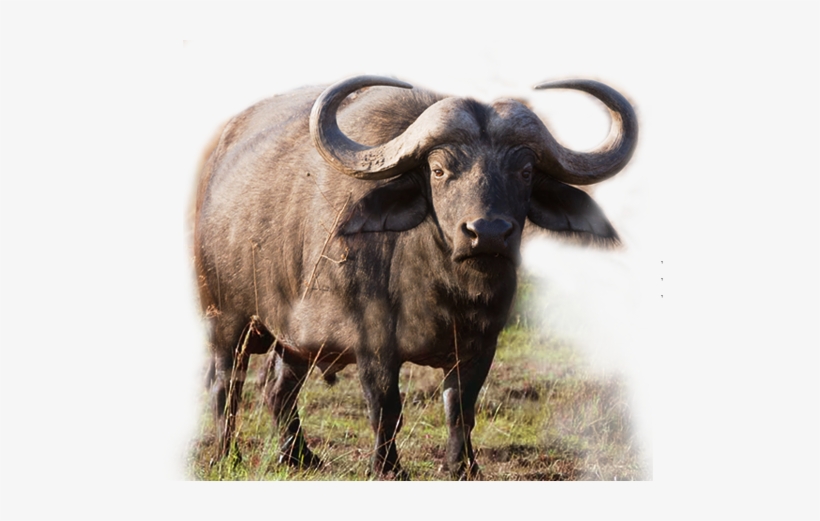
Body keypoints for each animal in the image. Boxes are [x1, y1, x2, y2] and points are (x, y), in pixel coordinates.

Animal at [193, 75, 637, 479]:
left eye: (525, 171)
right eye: (439, 170)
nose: (488, 233)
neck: (443, 290)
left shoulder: (482, 344)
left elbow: (461, 407)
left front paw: (463, 467)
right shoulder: (372, 340)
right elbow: (386, 407)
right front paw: (387, 468)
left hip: (294, 340)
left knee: (277, 388)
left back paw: (299, 457)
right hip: (227, 320)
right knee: (226, 386)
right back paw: (227, 456)